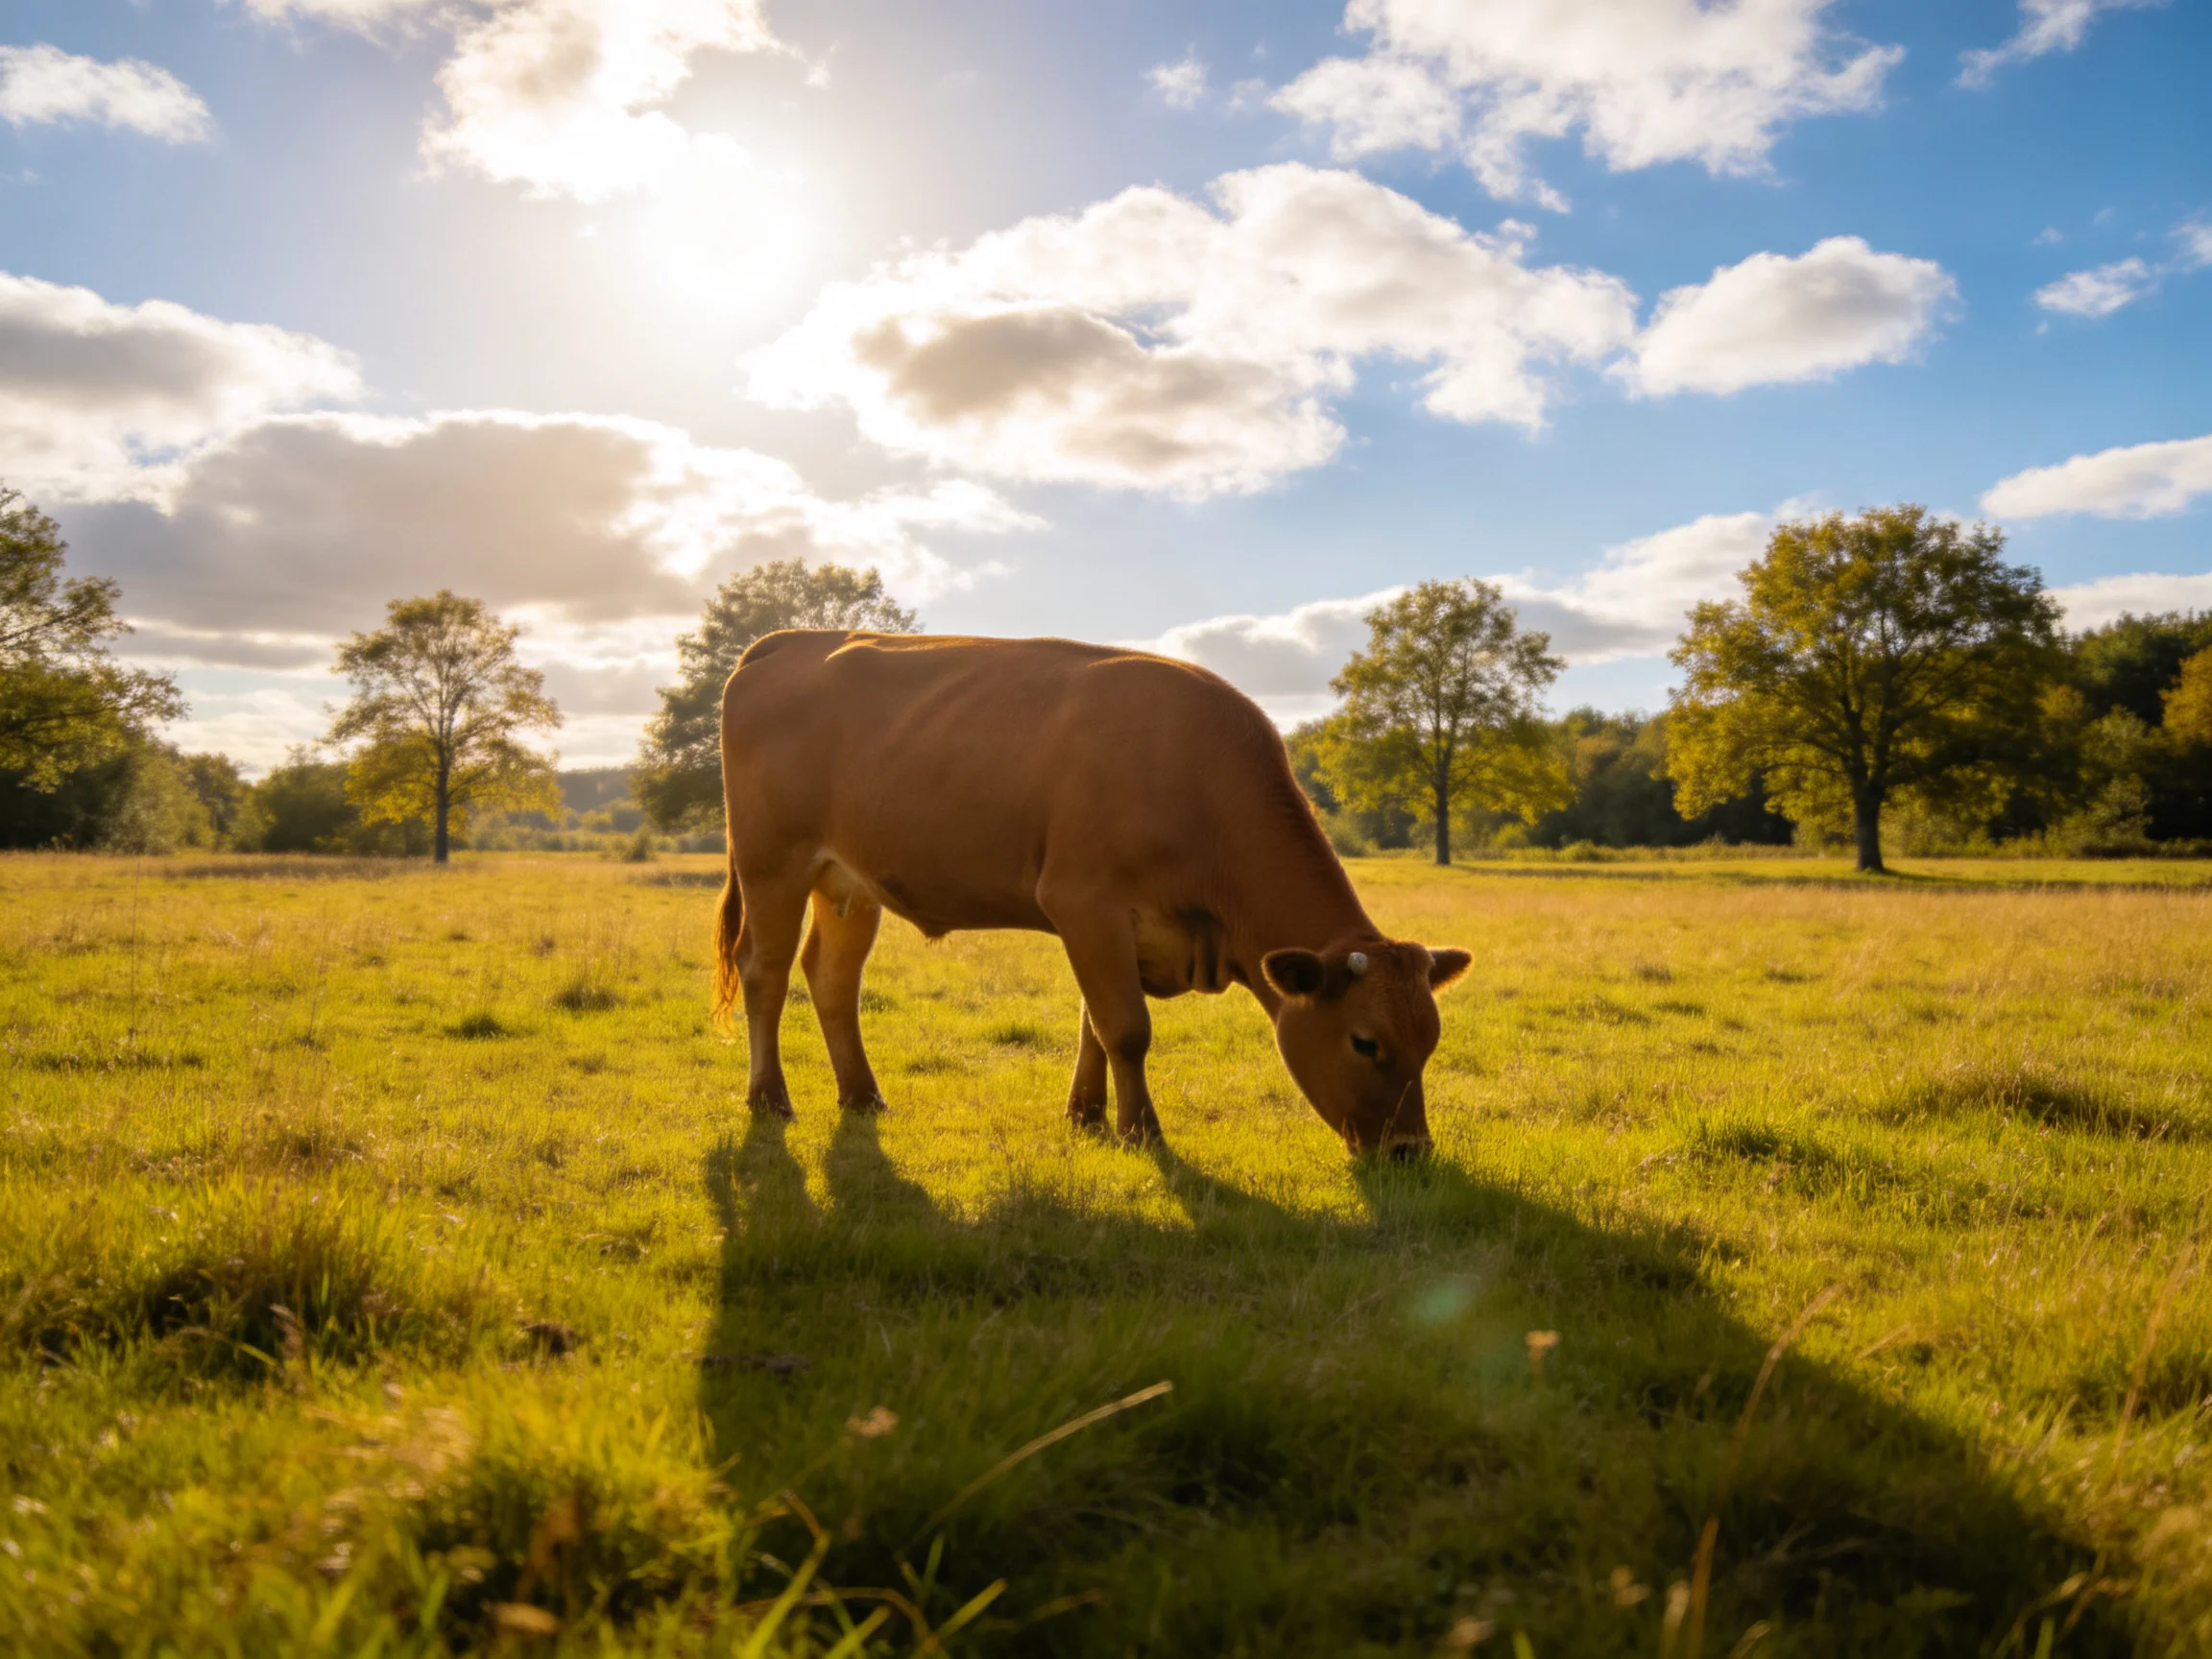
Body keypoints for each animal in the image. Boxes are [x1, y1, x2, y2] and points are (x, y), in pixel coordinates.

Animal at [711, 630, 1471, 1157]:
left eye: (1431, 1040)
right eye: (1365, 1043)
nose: (1409, 1152)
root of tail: (794, 638)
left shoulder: (1109, 929)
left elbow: (1094, 1026)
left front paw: (1087, 1116)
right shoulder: (1086, 904)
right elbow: (1127, 1029)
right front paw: (1143, 1133)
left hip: (848, 883)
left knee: (832, 978)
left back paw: (863, 1096)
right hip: (773, 865)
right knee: (765, 971)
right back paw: (770, 1099)